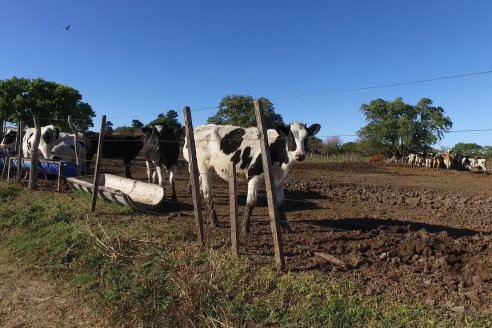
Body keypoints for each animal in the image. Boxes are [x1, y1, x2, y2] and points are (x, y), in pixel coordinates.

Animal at [183, 122, 320, 233]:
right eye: (290, 136)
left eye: (306, 137)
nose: (300, 155)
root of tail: (198, 128)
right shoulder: (254, 174)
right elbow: (251, 201)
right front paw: (245, 228)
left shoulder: (279, 180)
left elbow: (281, 202)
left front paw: (286, 227)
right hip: (203, 167)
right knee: (207, 192)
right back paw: (214, 221)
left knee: (201, 189)